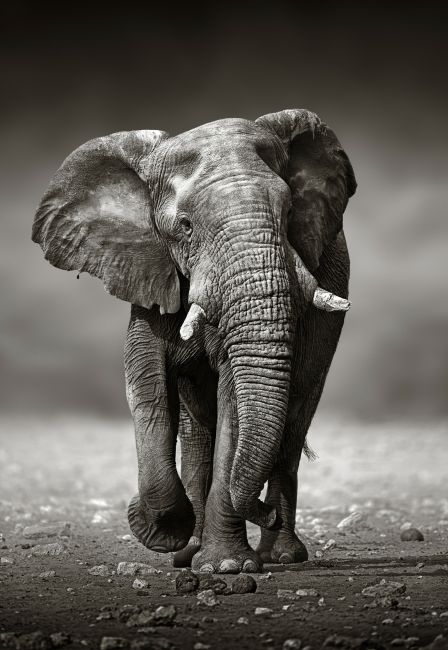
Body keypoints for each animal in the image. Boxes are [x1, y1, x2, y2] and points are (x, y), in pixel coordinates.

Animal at [32, 109, 356, 573]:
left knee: (293, 419)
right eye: (184, 227)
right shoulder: (149, 270)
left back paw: (280, 555)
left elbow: (234, 399)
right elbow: (146, 384)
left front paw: (227, 567)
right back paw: (190, 552)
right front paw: (164, 531)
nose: (263, 512)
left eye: (290, 210)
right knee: (197, 431)